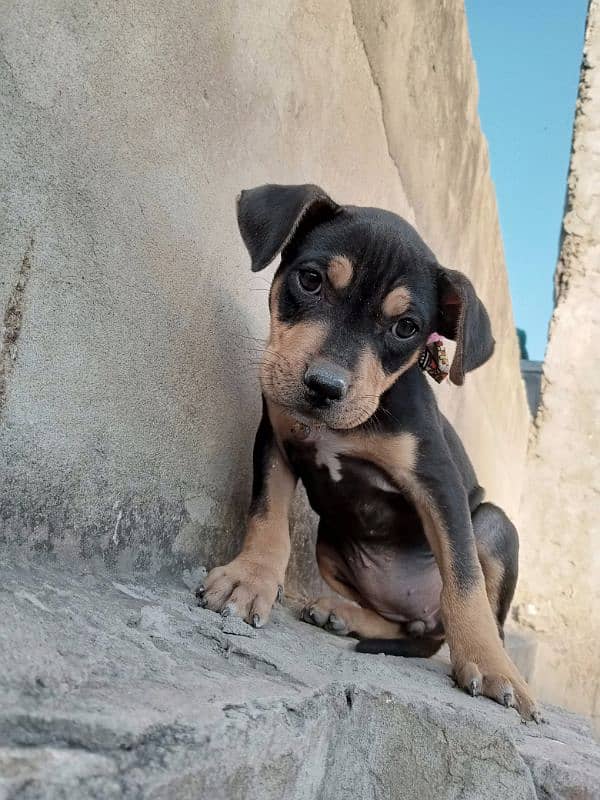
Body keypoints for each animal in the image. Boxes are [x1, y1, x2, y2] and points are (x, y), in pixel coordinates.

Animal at [200, 183, 540, 720]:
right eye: (311, 280)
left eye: (406, 328)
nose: (324, 387)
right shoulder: (275, 440)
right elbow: (267, 515)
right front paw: (250, 579)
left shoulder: (438, 481)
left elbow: (463, 578)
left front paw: (490, 666)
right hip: (329, 542)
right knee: (405, 624)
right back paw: (342, 613)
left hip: (492, 523)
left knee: (462, 612)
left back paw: (493, 654)